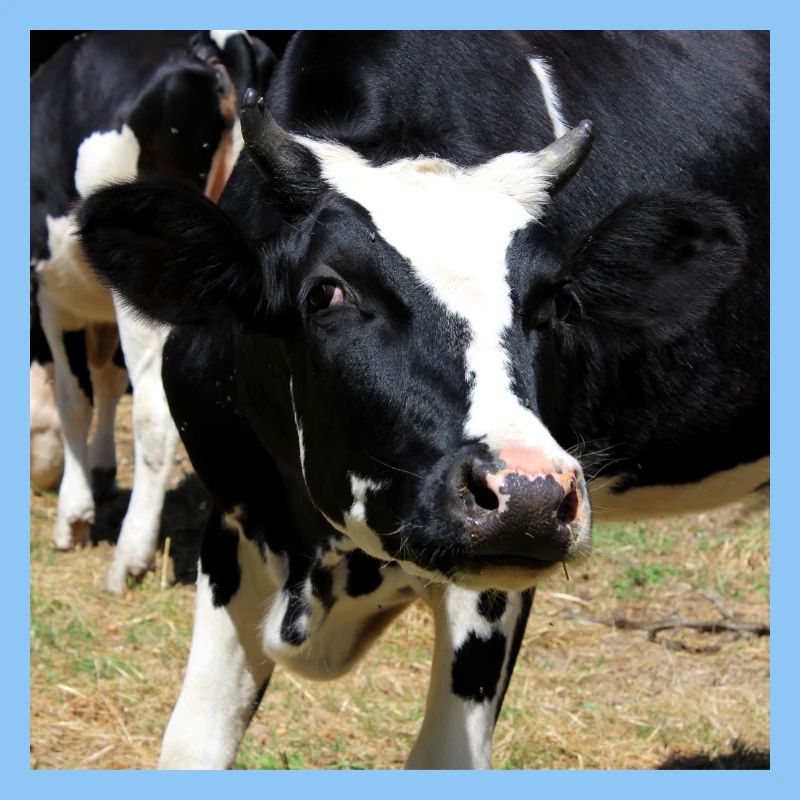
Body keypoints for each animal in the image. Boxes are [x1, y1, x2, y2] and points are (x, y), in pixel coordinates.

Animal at [31, 30, 275, 593]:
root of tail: (212, 43)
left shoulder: (53, 295)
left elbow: (74, 398)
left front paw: (74, 514)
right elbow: (106, 380)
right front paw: (101, 470)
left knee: (154, 412)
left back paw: (130, 555)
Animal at [77, 31, 768, 769]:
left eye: (556, 304)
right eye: (326, 292)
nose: (530, 494)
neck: (320, 561)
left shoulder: (491, 585)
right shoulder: (236, 516)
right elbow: (191, 742)